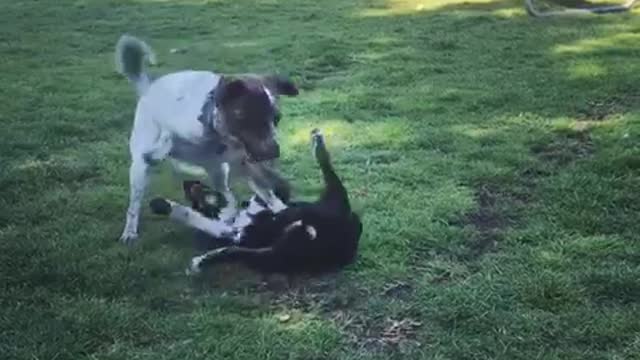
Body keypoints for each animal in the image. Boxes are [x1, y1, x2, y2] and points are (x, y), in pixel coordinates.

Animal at [148, 130, 362, 276]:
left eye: (197, 191)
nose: (187, 183)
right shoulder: (233, 232)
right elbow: (196, 218)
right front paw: (163, 205)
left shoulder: (277, 192)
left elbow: (268, 186)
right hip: (273, 253)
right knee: (234, 252)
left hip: (332, 201)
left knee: (326, 170)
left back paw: (318, 144)